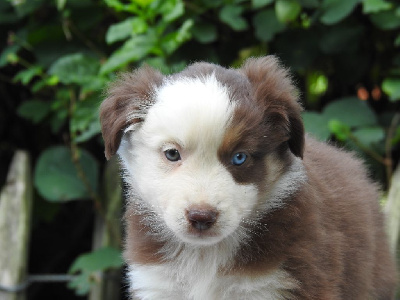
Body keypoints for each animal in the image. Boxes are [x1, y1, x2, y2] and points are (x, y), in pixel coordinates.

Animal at [100, 56, 396, 300]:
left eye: (239, 158)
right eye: (172, 154)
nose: (201, 217)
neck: (206, 254)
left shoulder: (290, 281)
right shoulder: (159, 283)